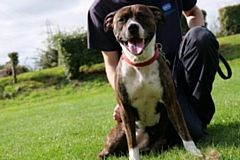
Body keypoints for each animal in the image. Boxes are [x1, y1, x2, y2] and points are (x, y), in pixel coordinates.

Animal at [98, 4, 203, 159]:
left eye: (142, 15)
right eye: (121, 20)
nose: (132, 27)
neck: (140, 63)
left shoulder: (171, 102)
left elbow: (183, 129)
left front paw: (193, 151)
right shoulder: (125, 108)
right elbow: (131, 142)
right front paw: (133, 157)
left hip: (160, 141)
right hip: (118, 134)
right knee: (105, 152)